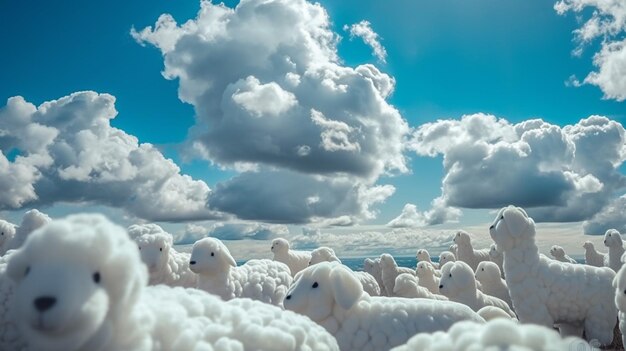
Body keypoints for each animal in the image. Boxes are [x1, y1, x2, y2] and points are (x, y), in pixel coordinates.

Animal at [488, 206, 616, 346]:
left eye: (502, 217)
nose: (490, 227)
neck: (531, 266)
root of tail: (611, 275)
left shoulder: (536, 312)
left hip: (600, 317)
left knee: (602, 335)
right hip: (573, 319)